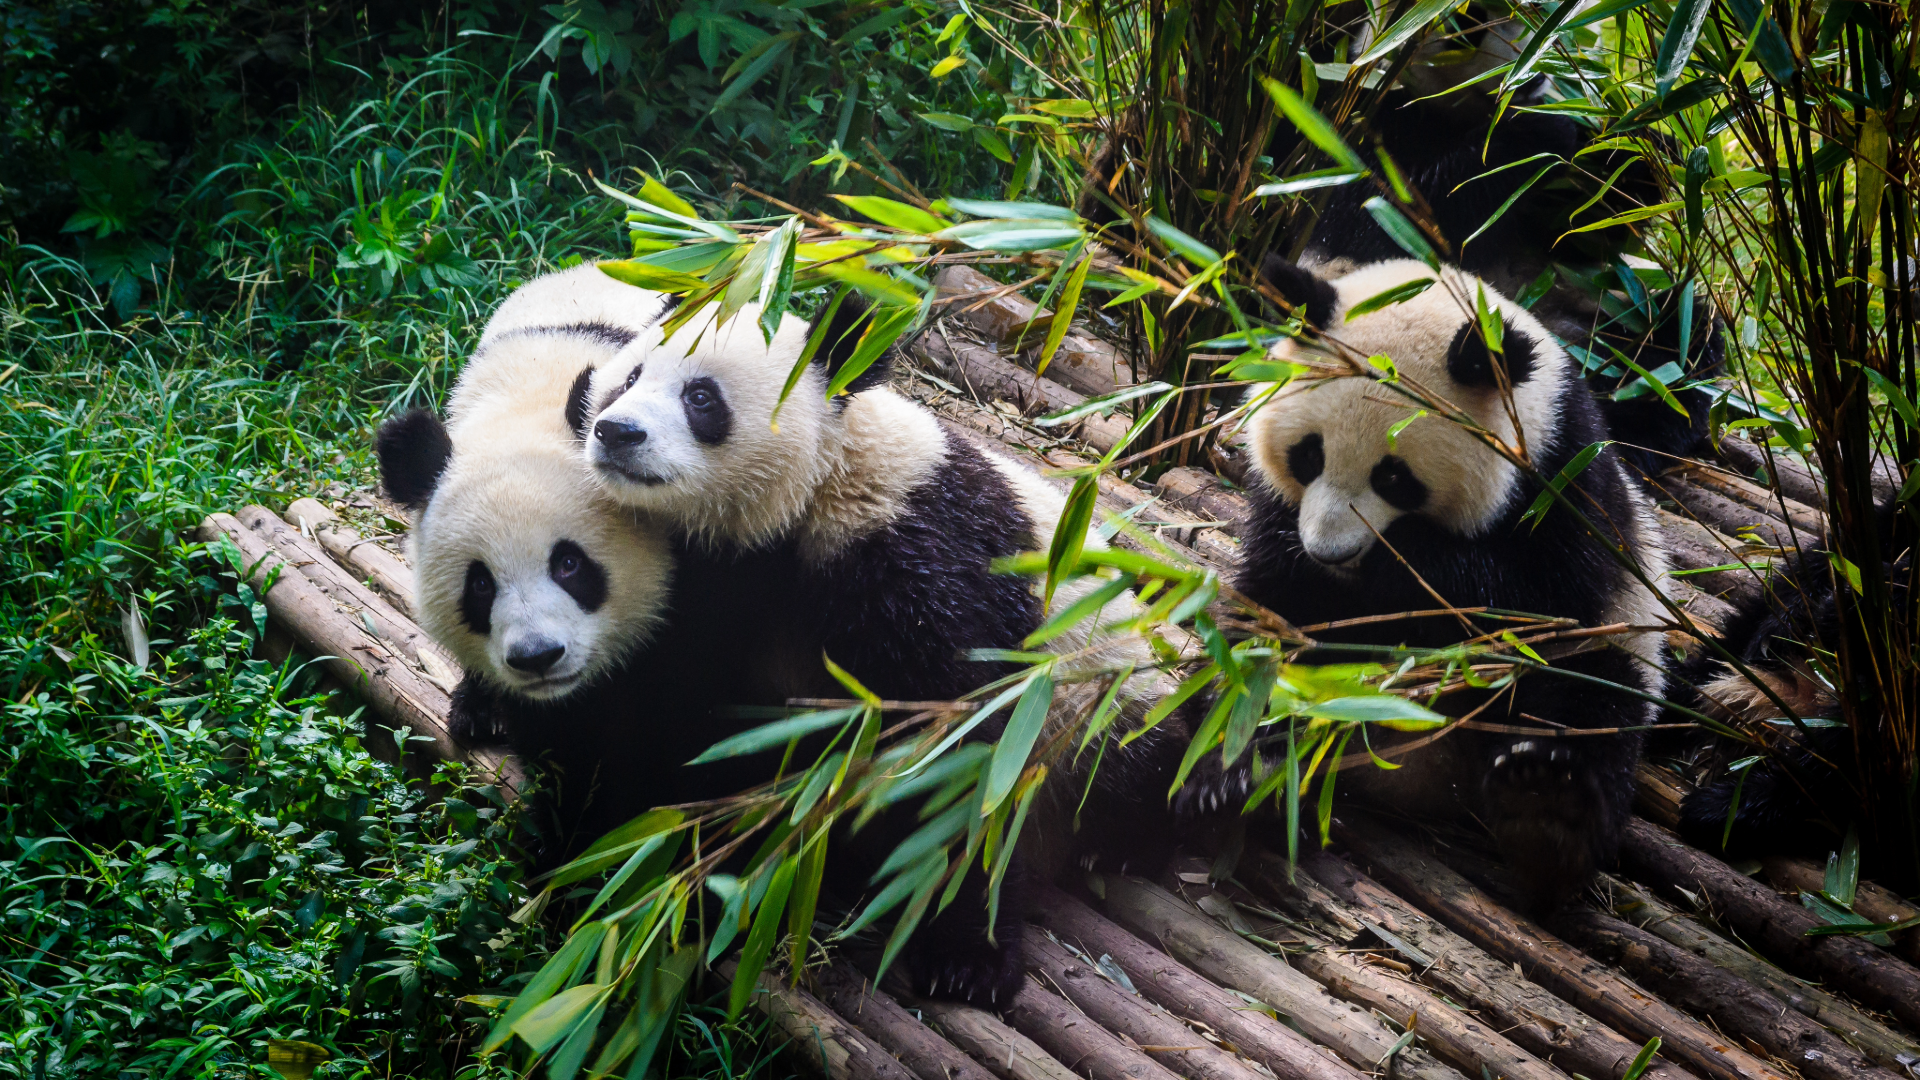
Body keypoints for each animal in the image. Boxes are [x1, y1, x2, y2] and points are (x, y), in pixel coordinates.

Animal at [569, 292, 1189, 1001]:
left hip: (1099, 685)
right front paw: (627, 853)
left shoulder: (913, 551)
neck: (816, 488)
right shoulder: (713, 585)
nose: (616, 432)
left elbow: (955, 746)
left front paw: (967, 959)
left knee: (1132, 756)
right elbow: (678, 716)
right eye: (629, 377)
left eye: (701, 398)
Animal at [1193, 255, 1673, 911]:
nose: (1330, 550)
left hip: (1615, 645)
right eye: (1309, 455)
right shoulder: (1278, 520)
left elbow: (1528, 599)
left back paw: (1546, 812)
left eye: (1394, 477)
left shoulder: (1567, 487)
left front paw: (1405, 566)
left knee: (1590, 702)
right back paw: (1246, 777)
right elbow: (1275, 614)